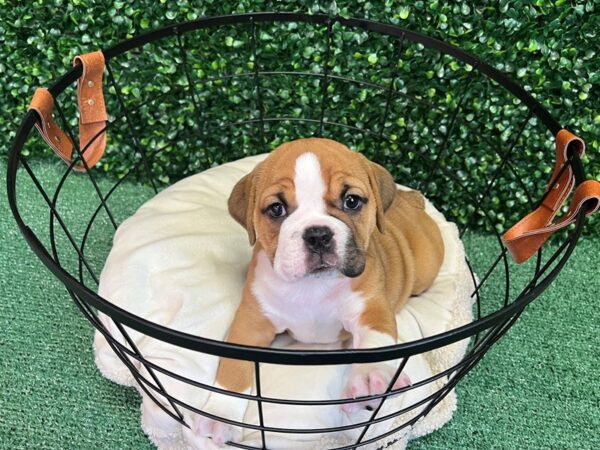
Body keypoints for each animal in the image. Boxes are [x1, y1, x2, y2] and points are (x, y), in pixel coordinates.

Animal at [195, 138, 442, 446]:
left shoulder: (370, 309)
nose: (318, 235)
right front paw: (220, 414)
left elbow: (375, 343)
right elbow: (233, 367)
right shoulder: (251, 324)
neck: (311, 286)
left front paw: (371, 376)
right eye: (276, 209)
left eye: (351, 201)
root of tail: (409, 201)